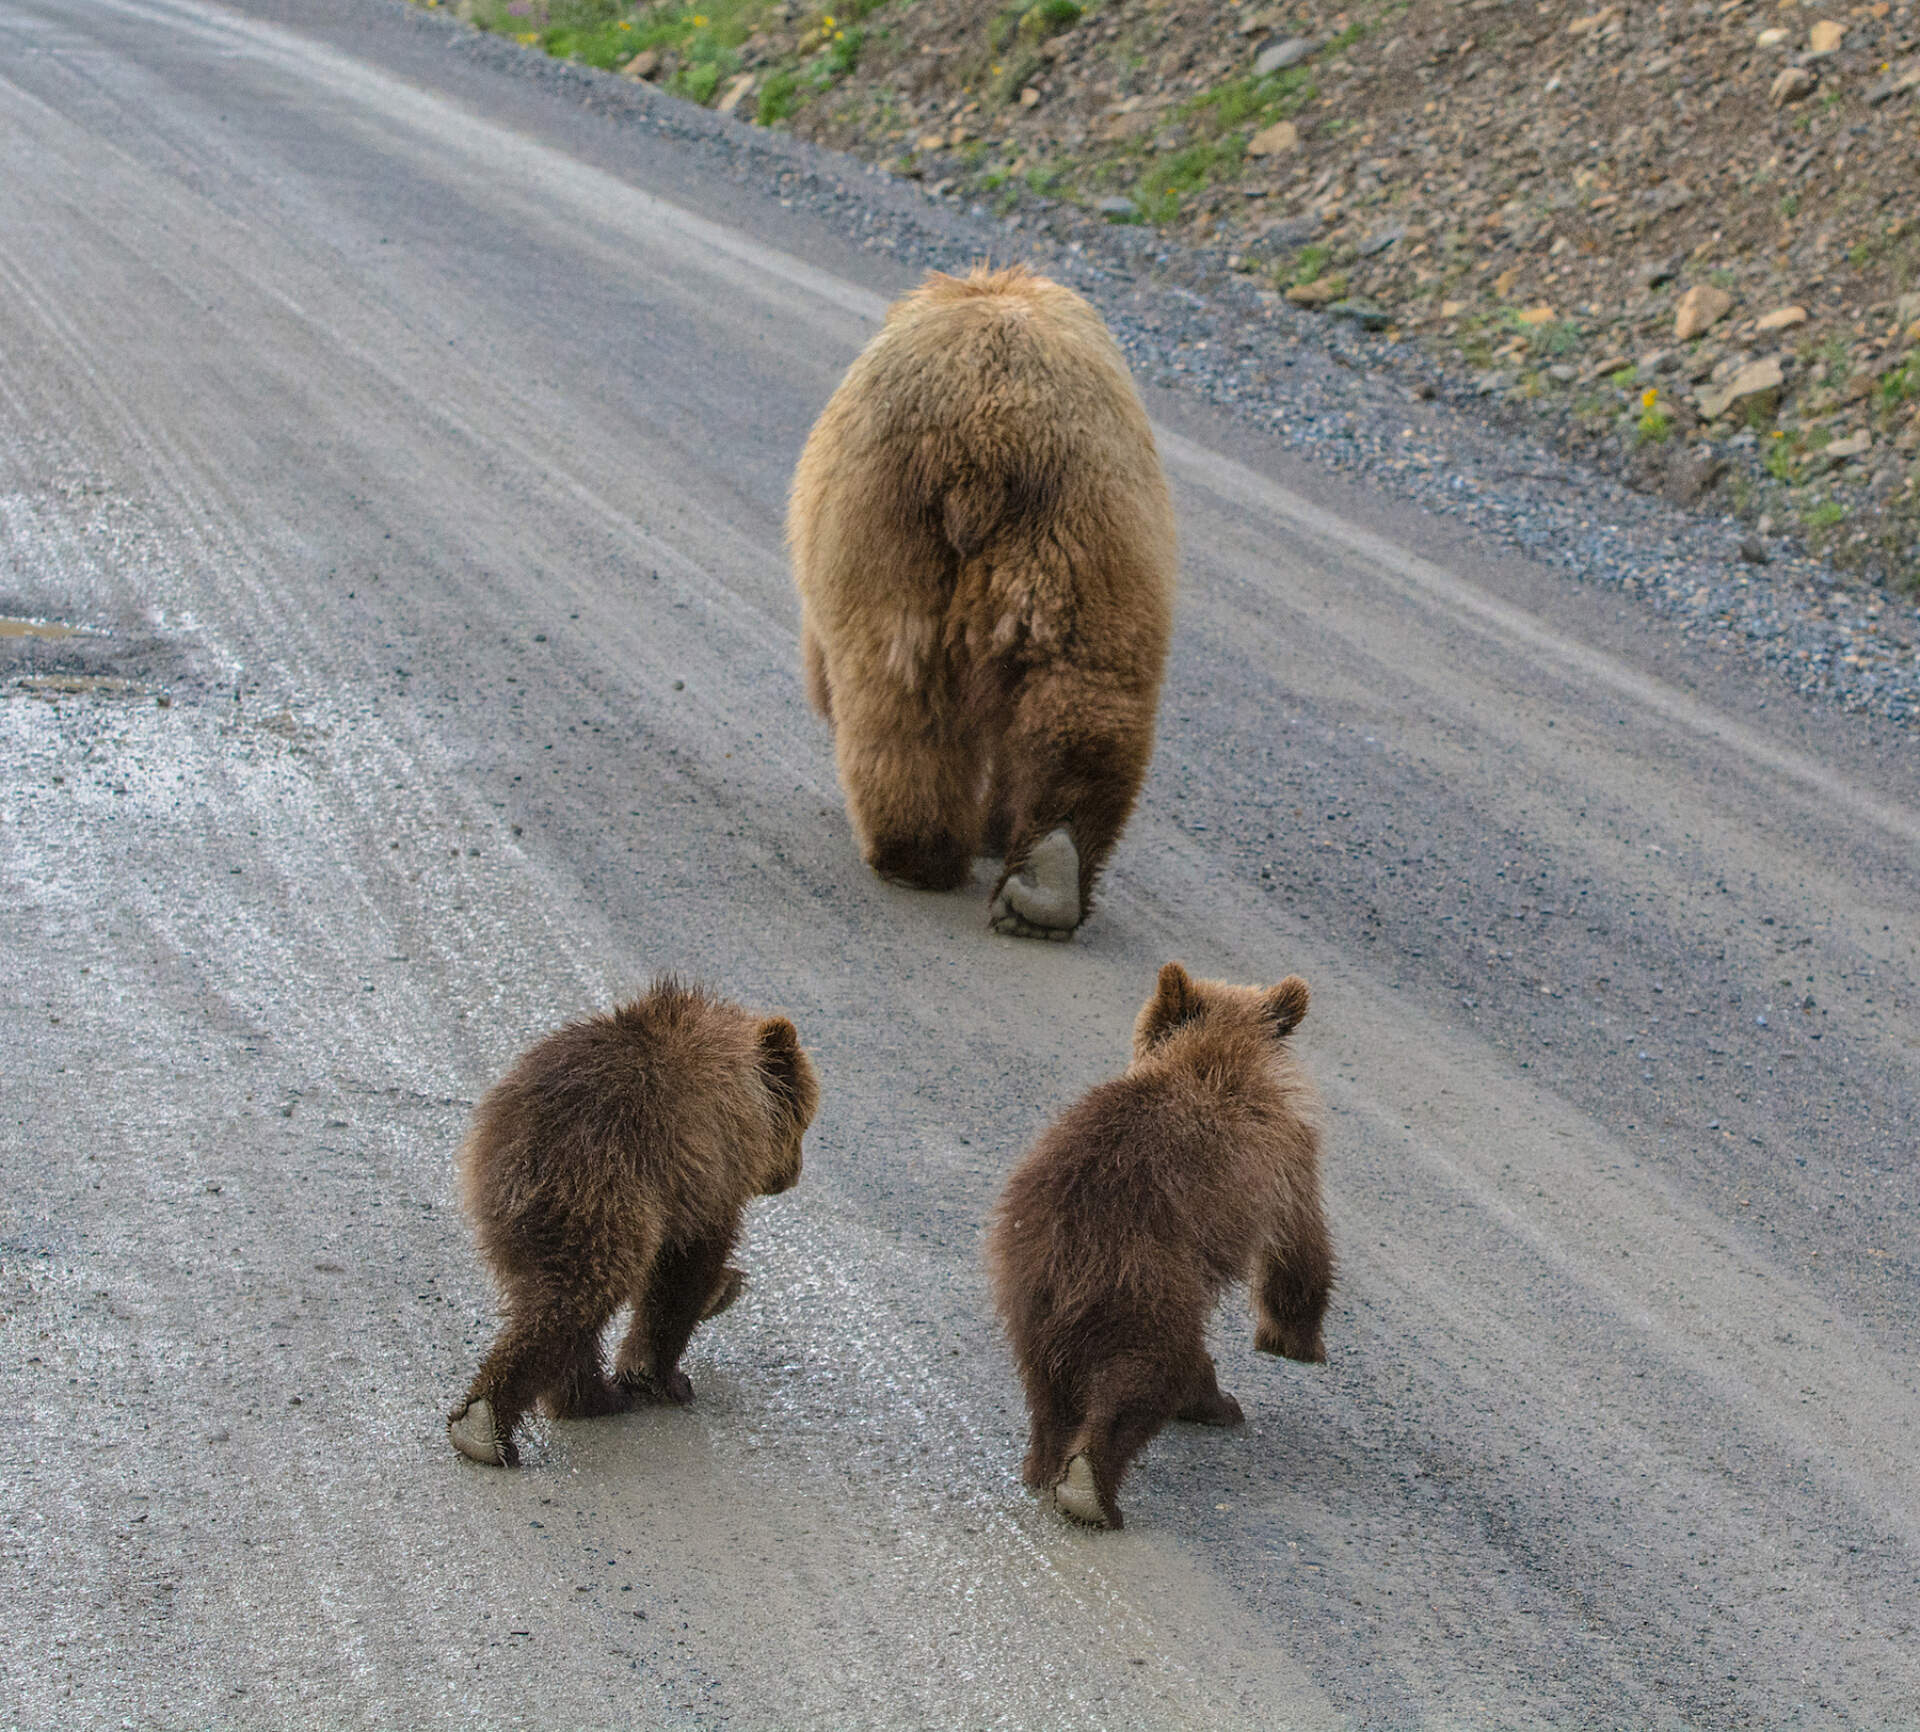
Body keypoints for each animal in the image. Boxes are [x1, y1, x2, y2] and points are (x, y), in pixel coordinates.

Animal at [779, 268, 1167, 940]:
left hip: (890, 530)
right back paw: (1047, 879)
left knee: (900, 688)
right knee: (1085, 695)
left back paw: (914, 852)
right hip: (1090, 539)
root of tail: (989, 441)